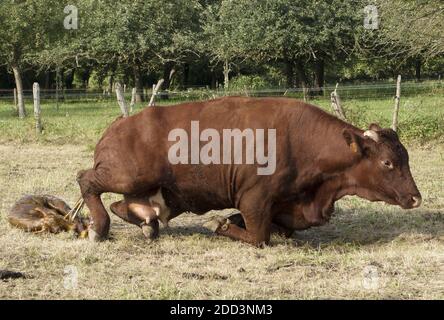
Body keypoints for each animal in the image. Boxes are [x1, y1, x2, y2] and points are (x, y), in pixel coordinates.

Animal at [76, 97, 420, 245]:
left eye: (404, 158)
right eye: (388, 162)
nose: (416, 197)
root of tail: (120, 124)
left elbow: (281, 228)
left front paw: (230, 220)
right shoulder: (255, 198)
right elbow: (259, 236)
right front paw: (221, 224)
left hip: (144, 190)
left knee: (123, 205)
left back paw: (146, 225)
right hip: (128, 175)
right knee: (87, 181)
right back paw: (99, 228)